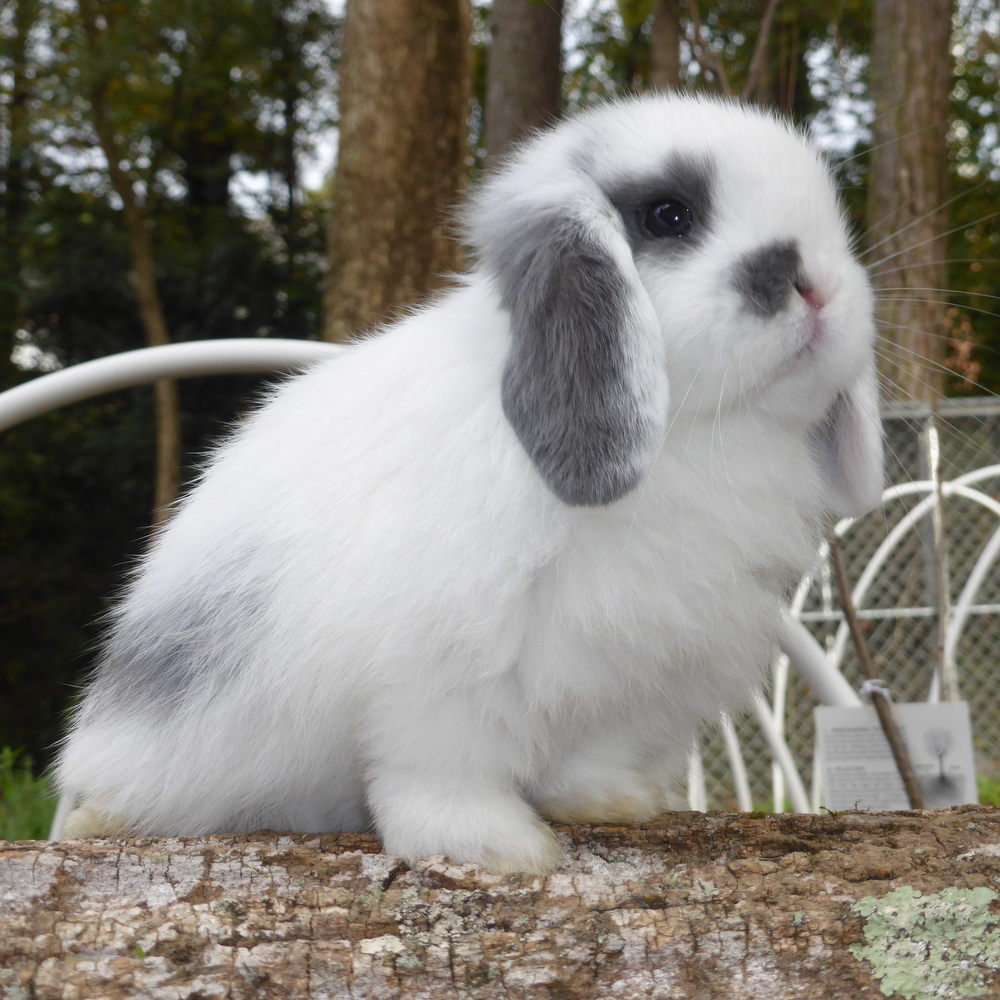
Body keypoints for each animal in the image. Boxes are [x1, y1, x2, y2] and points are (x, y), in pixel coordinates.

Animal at [54, 94, 884, 876]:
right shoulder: (441, 667)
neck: (695, 433)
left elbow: (587, 752)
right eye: (668, 214)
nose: (815, 286)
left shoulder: (626, 668)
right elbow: (438, 767)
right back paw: (100, 822)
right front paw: (491, 846)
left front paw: (611, 800)